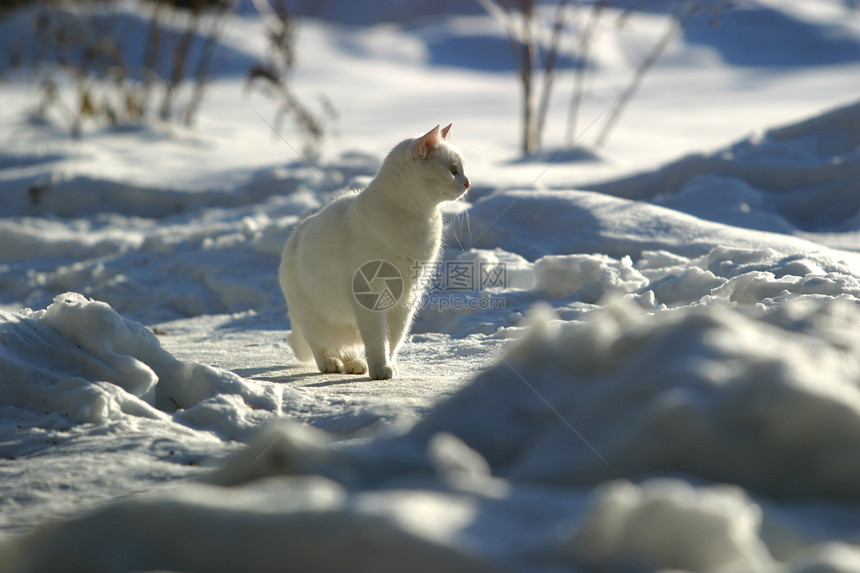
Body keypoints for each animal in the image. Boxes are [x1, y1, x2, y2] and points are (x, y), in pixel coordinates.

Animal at [280, 123, 470, 378]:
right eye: (452, 169)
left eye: (461, 168)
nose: (468, 183)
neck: (418, 217)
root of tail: (296, 234)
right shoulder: (371, 298)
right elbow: (378, 339)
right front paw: (380, 368)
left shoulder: (407, 301)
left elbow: (394, 339)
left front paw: (389, 364)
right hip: (312, 316)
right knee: (319, 342)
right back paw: (331, 363)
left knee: (347, 345)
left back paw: (354, 363)